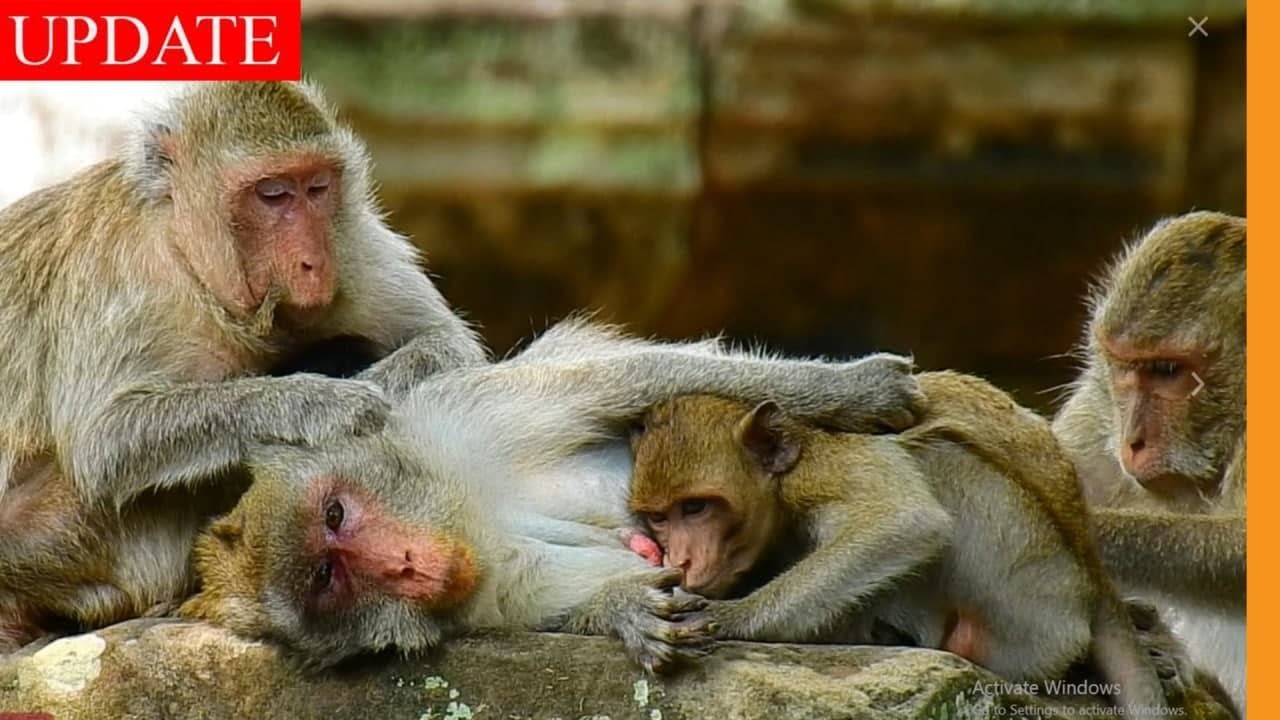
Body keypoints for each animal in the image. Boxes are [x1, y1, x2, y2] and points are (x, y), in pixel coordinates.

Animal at [0, 81, 486, 652]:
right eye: (271, 194)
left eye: (317, 187)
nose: (313, 262)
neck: (197, 270)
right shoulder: (119, 271)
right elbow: (104, 442)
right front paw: (321, 403)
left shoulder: (353, 240)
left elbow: (448, 342)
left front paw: (381, 386)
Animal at [179, 319, 924, 672]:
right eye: (327, 580)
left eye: (335, 513)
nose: (404, 566)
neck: (468, 510)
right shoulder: (487, 596)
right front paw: (622, 609)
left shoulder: (465, 415)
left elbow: (633, 381)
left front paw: (857, 389)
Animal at [627, 371, 1169, 715]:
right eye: (658, 517)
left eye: (696, 507)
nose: (681, 558)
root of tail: (1094, 585)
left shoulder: (828, 462)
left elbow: (904, 520)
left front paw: (729, 617)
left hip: (1029, 604)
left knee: (938, 458)